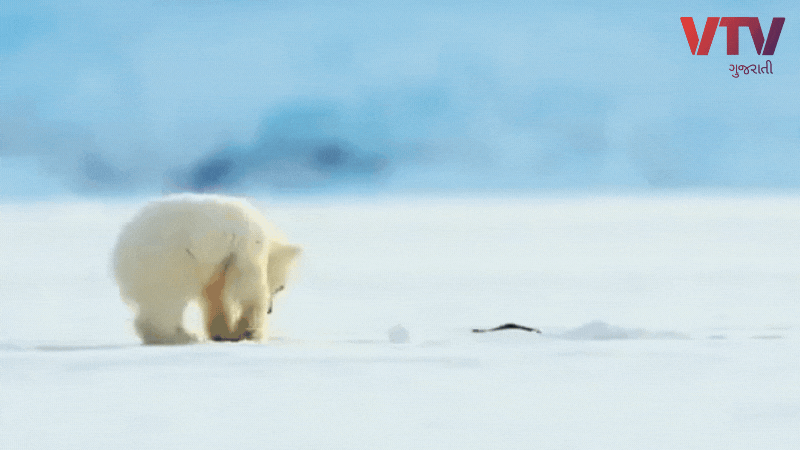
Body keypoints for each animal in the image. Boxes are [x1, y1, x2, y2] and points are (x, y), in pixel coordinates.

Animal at [112, 194, 300, 344]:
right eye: (281, 287)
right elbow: (248, 289)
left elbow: (215, 294)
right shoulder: (247, 246)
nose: (270, 310)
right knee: (166, 302)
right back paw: (184, 337)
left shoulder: (219, 263)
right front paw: (251, 333)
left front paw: (223, 333)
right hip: (169, 263)